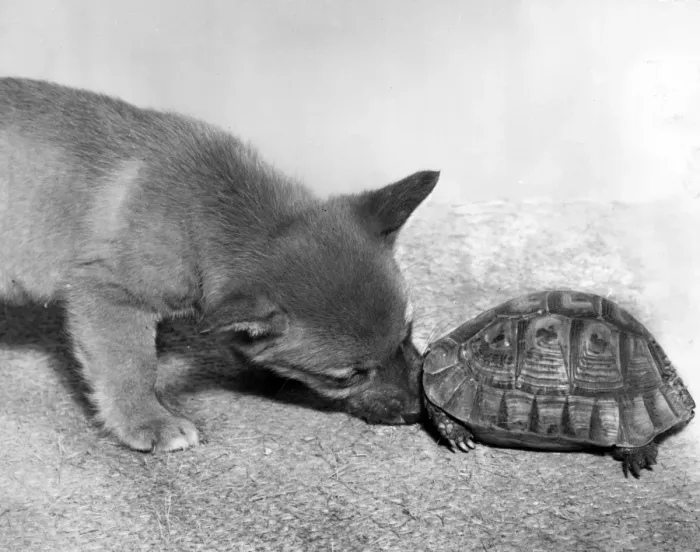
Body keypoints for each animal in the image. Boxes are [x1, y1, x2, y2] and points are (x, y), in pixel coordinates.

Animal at [0, 78, 439, 452]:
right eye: (349, 375)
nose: (418, 410)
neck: (205, 212)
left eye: (407, 332)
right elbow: (131, 369)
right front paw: (149, 421)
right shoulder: (109, 299)